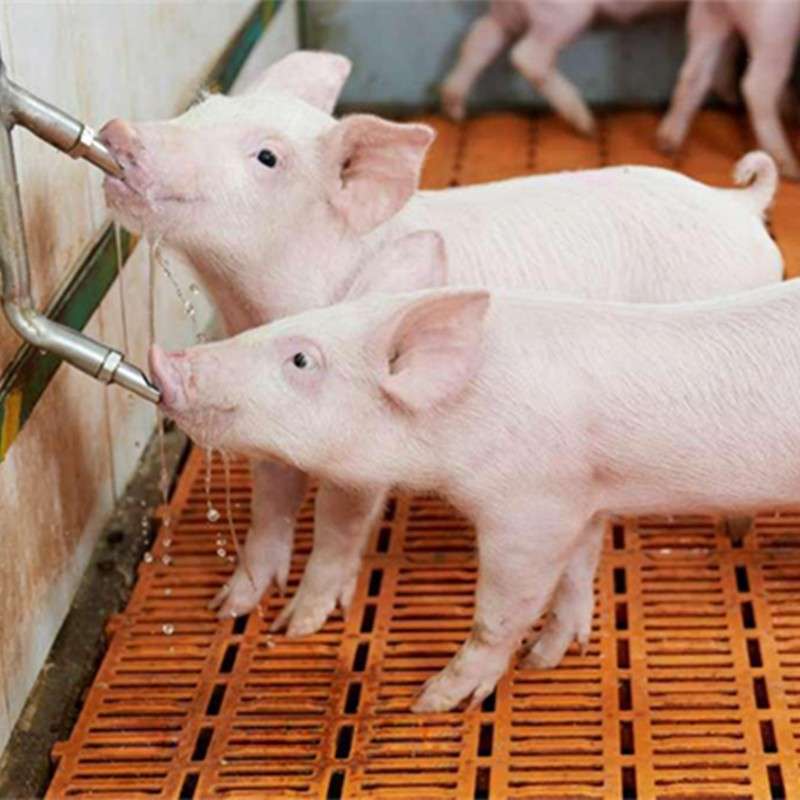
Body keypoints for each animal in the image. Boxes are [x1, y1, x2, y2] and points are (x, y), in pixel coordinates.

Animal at [99, 50, 782, 656]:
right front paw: (230, 607)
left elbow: (339, 520)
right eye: (201, 108)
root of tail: (740, 205)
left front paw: (298, 626)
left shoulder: (363, 437)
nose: (119, 131)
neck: (255, 300)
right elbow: (271, 497)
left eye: (267, 157)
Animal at [149, 245, 800, 712]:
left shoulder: (530, 506)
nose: (165, 360)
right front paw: (547, 657)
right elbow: (577, 573)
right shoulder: (583, 494)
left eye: (302, 359)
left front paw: (432, 701)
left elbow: (501, 610)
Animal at [440, 0, 738, 133]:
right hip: (563, 14)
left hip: (508, 12)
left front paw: (729, 95)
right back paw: (586, 124)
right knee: (527, 56)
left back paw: (455, 110)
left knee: (479, 38)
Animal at [658, 0, 800, 179]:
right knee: (755, 86)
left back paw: (667, 144)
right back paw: (790, 168)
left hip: (707, 17)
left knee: (692, 74)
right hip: (775, 28)